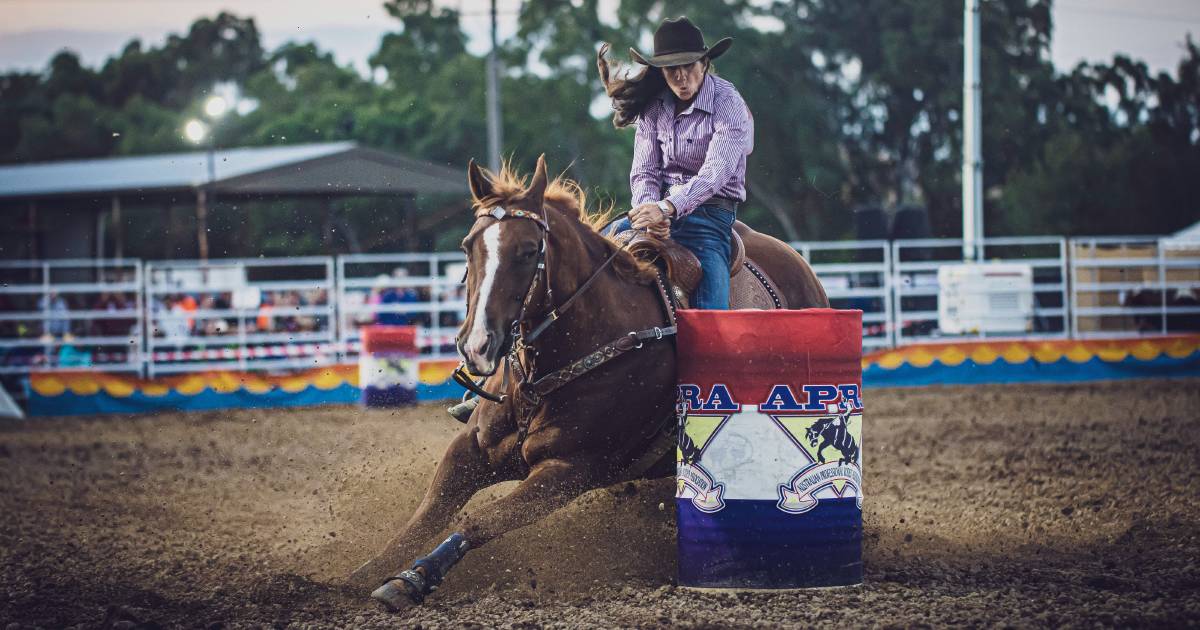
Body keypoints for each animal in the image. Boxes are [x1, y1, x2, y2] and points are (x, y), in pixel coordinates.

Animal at [350, 153, 830, 609]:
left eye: (529, 249)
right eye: (468, 245)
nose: (477, 344)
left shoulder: (568, 470)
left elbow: (480, 520)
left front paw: (411, 580)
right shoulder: (471, 449)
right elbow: (426, 515)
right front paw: (359, 573)